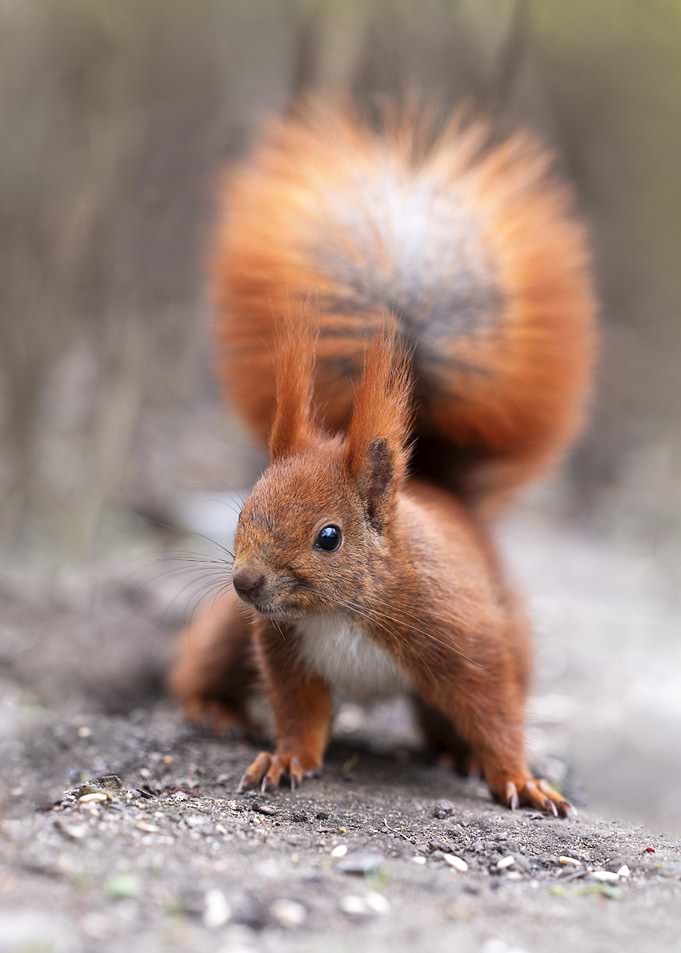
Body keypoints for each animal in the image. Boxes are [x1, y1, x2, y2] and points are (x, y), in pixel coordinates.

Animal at [170, 104, 595, 815]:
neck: (341, 611)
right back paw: (212, 708)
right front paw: (285, 758)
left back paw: (457, 755)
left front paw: (520, 778)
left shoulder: (464, 635)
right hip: (232, 632)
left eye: (329, 537)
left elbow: (494, 711)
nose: (246, 583)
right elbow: (300, 713)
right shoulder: (280, 645)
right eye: (244, 509)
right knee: (201, 664)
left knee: (451, 719)